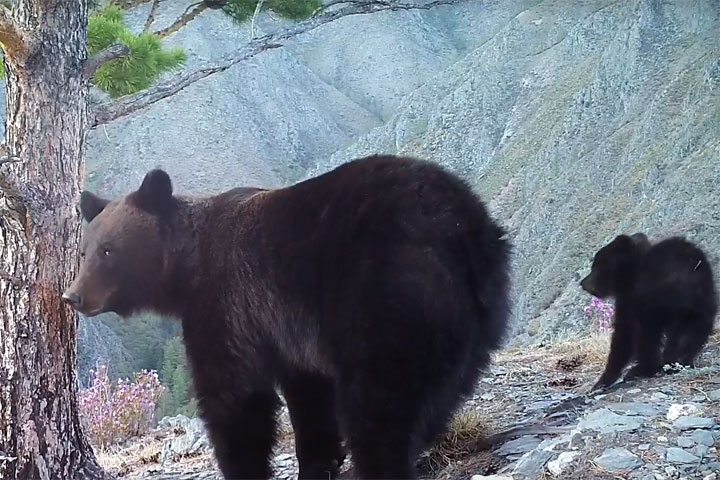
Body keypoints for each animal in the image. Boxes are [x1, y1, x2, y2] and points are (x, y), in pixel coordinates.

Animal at [63, 155, 512, 480]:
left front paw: (244, 466)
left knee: (377, 399)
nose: (73, 296)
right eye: (83, 251)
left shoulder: (228, 303)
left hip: (381, 293)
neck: (186, 270)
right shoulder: (288, 327)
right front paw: (318, 460)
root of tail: (462, 226)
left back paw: (380, 462)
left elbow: (234, 395)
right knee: (441, 388)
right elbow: (308, 393)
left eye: (108, 250)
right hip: (476, 313)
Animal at [584, 232, 716, 390]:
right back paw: (678, 361)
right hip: (702, 306)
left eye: (596, 266)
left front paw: (602, 380)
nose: (583, 283)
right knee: (688, 334)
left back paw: (644, 368)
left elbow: (624, 334)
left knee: (647, 335)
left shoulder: (631, 299)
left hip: (656, 304)